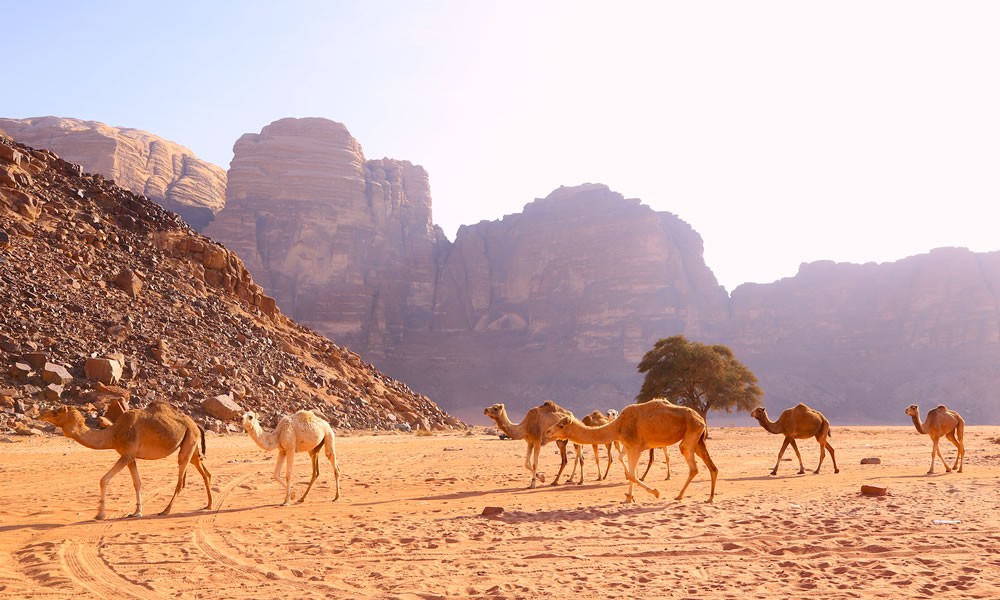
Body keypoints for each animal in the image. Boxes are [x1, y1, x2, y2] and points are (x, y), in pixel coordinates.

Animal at [39, 404, 213, 520]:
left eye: (56, 412)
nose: (40, 414)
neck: (113, 434)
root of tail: (195, 423)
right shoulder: (131, 457)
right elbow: (137, 483)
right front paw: (137, 512)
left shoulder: (126, 455)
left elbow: (104, 479)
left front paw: (100, 514)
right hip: (191, 444)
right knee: (205, 472)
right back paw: (209, 505)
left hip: (188, 442)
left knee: (180, 480)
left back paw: (165, 511)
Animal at [544, 400, 716, 504]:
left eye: (561, 425)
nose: (547, 431)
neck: (618, 426)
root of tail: (701, 419)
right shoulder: (629, 447)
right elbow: (631, 473)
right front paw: (629, 498)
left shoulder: (635, 447)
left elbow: (633, 475)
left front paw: (655, 492)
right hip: (698, 440)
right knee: (712, 467)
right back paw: (709, 498)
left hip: (690, 436)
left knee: (693, 466)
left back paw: (679, 495)